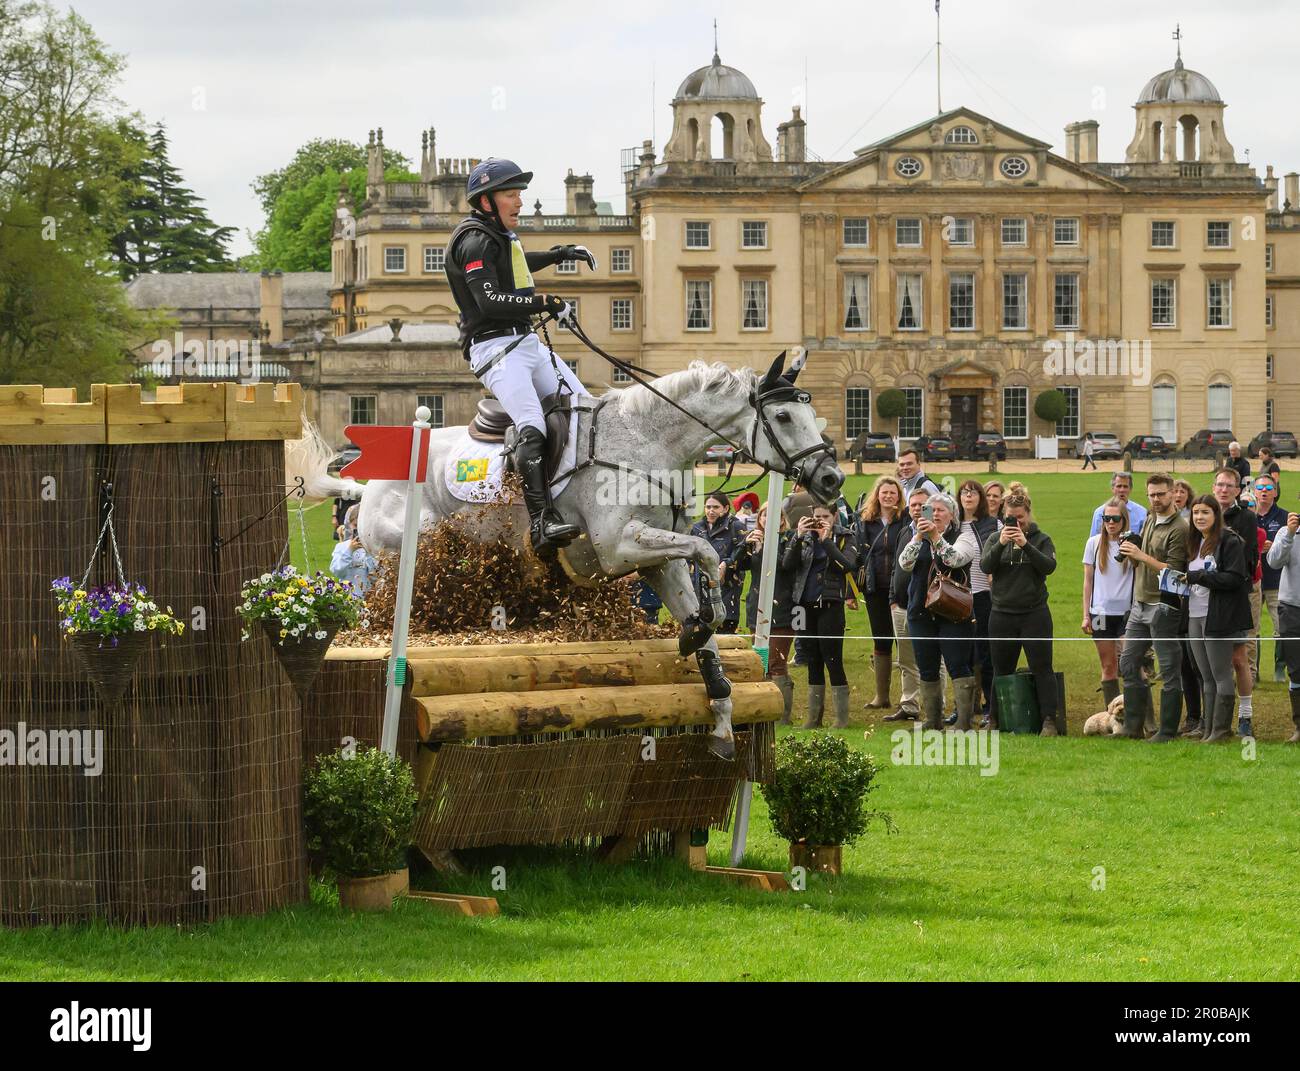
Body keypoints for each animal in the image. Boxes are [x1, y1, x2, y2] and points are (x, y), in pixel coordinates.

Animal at [340, 348, 842, 753]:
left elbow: (701, 607)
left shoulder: (656, 559)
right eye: (783, 418)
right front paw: (711, 610)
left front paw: (718, 708)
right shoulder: (618, 547)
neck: (647, 441)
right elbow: (707, 551)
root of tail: (366, 484)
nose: (833, 478)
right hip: (409, 549)